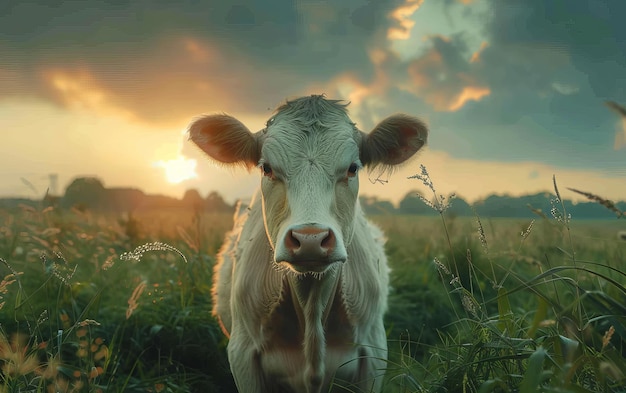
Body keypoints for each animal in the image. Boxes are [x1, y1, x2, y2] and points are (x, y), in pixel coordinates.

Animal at [188, 95, 426, 392]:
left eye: (352, 168)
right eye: (267, 168)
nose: (310, 239)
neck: (311, 306)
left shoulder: (373, 352)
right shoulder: (242, 355)